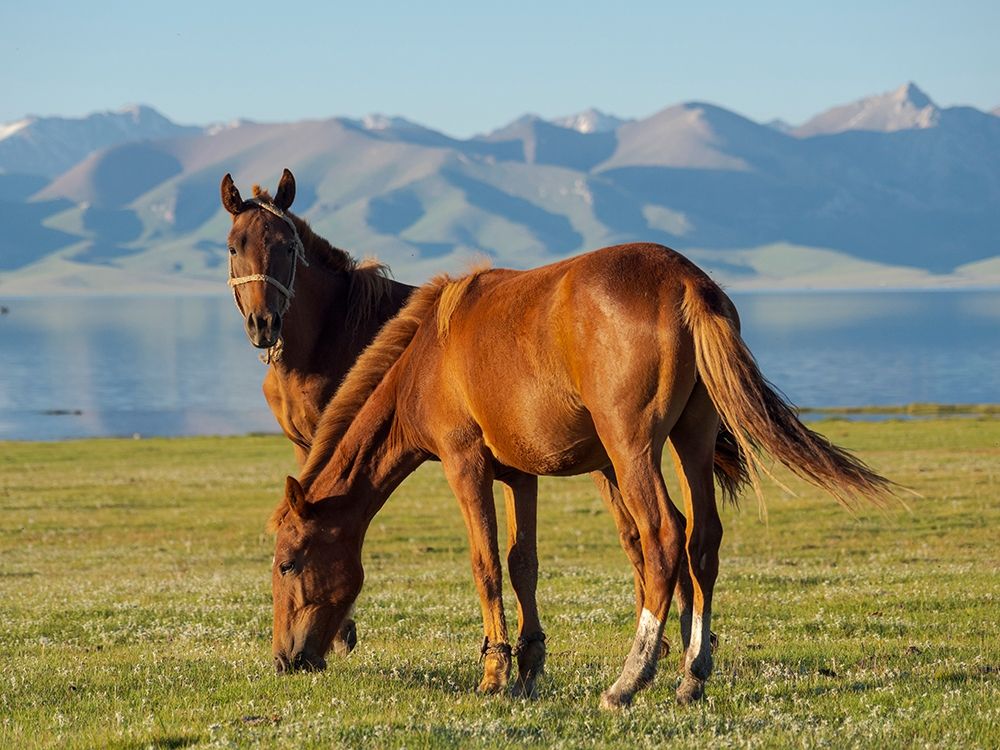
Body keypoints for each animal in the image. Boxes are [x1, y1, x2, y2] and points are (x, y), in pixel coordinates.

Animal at [267, 244, 892, 708]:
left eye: (287, 564)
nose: (284, 659)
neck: (426, 360)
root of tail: (686, 281)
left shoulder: (467, 466)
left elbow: (486, 565)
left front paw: (494, 675)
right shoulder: (519, 476)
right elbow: (522, 564)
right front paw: (528, 666)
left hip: (631, 448)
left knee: (664, 536)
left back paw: (629, 680)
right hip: (689, 440)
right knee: (702, 541)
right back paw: (692, 674)